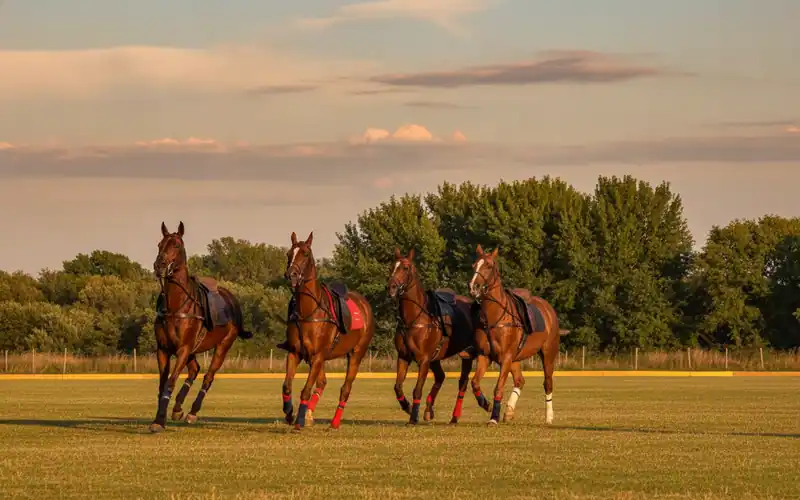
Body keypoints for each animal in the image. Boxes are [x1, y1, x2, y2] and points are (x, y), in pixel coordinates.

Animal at [149, 221, 252, 433]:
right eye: (159, 244)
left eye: (176, 245)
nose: (159, 265)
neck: (175, 305)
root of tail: (232, 299)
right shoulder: (163, 349)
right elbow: (162, 384)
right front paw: (158, 419)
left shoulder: (183, 348)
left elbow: (170, 382)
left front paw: (160, 420)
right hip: (193, 350)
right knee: (194, 369)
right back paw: (178, 408)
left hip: (223, 345)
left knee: (208, 376)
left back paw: (192, 412)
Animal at [279, 231, 375, 430]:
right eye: (289, 253)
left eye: (305, 253)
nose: (291, 275)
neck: (308, 311)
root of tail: (364, 303)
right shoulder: (295, 353)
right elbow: (287, 385)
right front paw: (290, 413)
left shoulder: (317, 355)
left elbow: (306, 390)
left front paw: (298, 422)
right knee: (322, 382)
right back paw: (308, 415)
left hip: (356, 353)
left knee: (345, 388)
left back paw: (334, 422)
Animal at [388, 247, 487, 425]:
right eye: (393, 266)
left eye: (405, 268)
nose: (391, 288)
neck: (414, 319)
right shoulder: (404, 357)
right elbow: (397, 386)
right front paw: (407, 406)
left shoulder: (424, 359)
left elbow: (417, 389)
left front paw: (413, 416)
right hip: (436, 358)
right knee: (441, 377)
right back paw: (429, 409)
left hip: (467, 355)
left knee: (462, 383)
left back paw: (456, 415)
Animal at [467, 244, 568, 426]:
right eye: (474, 265)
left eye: (489, 266)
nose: (474, 287)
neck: (494, 317)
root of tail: (548, 308)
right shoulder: (484, 356)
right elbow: (475, 383)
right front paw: (486, 404)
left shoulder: (506, 357)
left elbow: (498, 387)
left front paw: (493, 417)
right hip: (516, 358)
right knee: (520, 381)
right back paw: (508, 411)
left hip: (548, 353)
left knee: (547, 383)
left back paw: (549, 417)